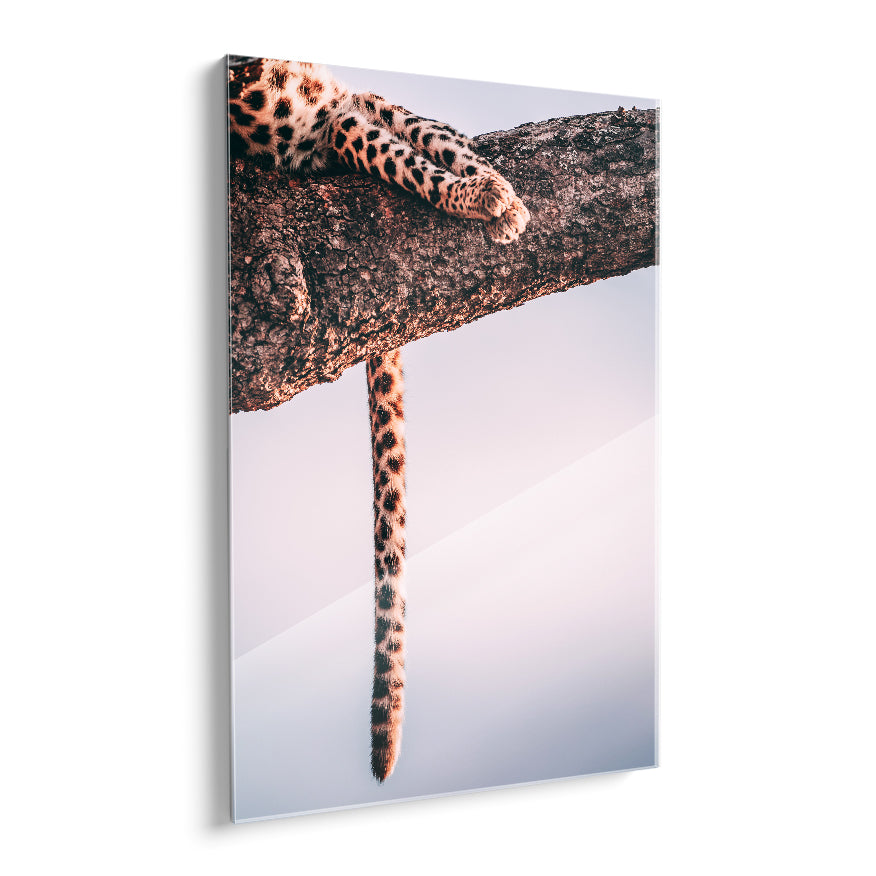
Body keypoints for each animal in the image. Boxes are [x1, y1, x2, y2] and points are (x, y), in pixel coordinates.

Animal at [228, 55, 530, 782]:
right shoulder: (312, 136)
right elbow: (391, 152)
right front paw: (484, 198)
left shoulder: (337, 103)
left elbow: (417, 130)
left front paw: (491, 184)